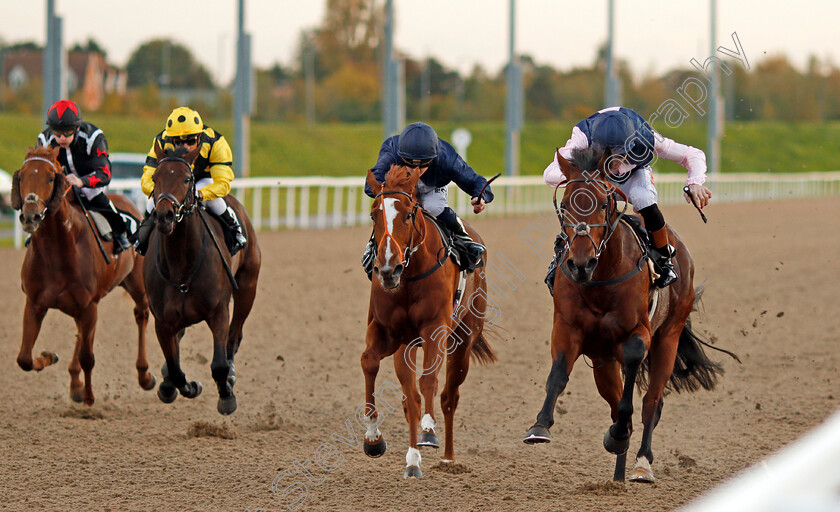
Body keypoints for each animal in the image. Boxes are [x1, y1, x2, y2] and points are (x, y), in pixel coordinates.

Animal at [12, 146, 155, 406]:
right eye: (23, 176)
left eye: (51, 178)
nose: (30, 216)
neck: (59, 249)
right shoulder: (35, 303)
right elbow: (24, 358)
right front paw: (49, 357)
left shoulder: (89, 306)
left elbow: (88, 357)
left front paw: (89, 398)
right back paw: (75, 381)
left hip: (136, 285)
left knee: (141, 314)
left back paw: (145, 375)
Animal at [145, 143, 260, 416]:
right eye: (155, 178)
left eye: (187, 179)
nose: (164, 216)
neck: (181, 266)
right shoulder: (162, 321)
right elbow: (175, 369)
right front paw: (185, 385)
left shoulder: (218, 311)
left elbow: (218, 364)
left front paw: (227, 395)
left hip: (247, 287)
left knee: (234, 336)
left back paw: (231, 374)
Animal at [360, 165, 492, 480]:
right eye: (373, 215)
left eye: (408, 214)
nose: (388, 268)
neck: (409, 277)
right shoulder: (389, 333)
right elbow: (370, 363)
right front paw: (373, 438)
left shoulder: (435, 329)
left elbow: (429, 380)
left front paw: (429, 430)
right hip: (409, 346)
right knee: (411, 399)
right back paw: (412, 462)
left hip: (463, 340)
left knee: (449, 396)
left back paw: (448, 457)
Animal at [520, 149, 740, 484]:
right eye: (566, 204)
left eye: (602, 204)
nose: (581, 264)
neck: (601, 279)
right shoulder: (569, 328)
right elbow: (558, 375)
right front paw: (540, 426)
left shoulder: (639, 331)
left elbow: (635, 378)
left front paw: (622, 436)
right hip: (603, 358)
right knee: (615, 400)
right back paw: (618, 463)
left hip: (668, 336)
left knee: (651, 402)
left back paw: (640, 463)